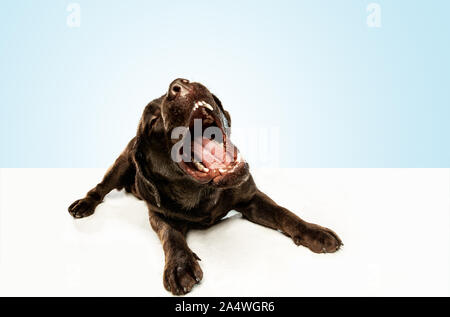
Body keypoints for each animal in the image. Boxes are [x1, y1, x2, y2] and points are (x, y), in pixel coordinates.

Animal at [68, 78, 342, 294]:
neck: (202, 192)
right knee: (100, 187)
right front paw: (180, 265)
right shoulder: (158, 214)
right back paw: (83, 204)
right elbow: (171, 236)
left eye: (182, 83)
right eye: (153, 120)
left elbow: (284, 213)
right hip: (121, 163)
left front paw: (314, 232)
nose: (178, 85)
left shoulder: (251, 198)